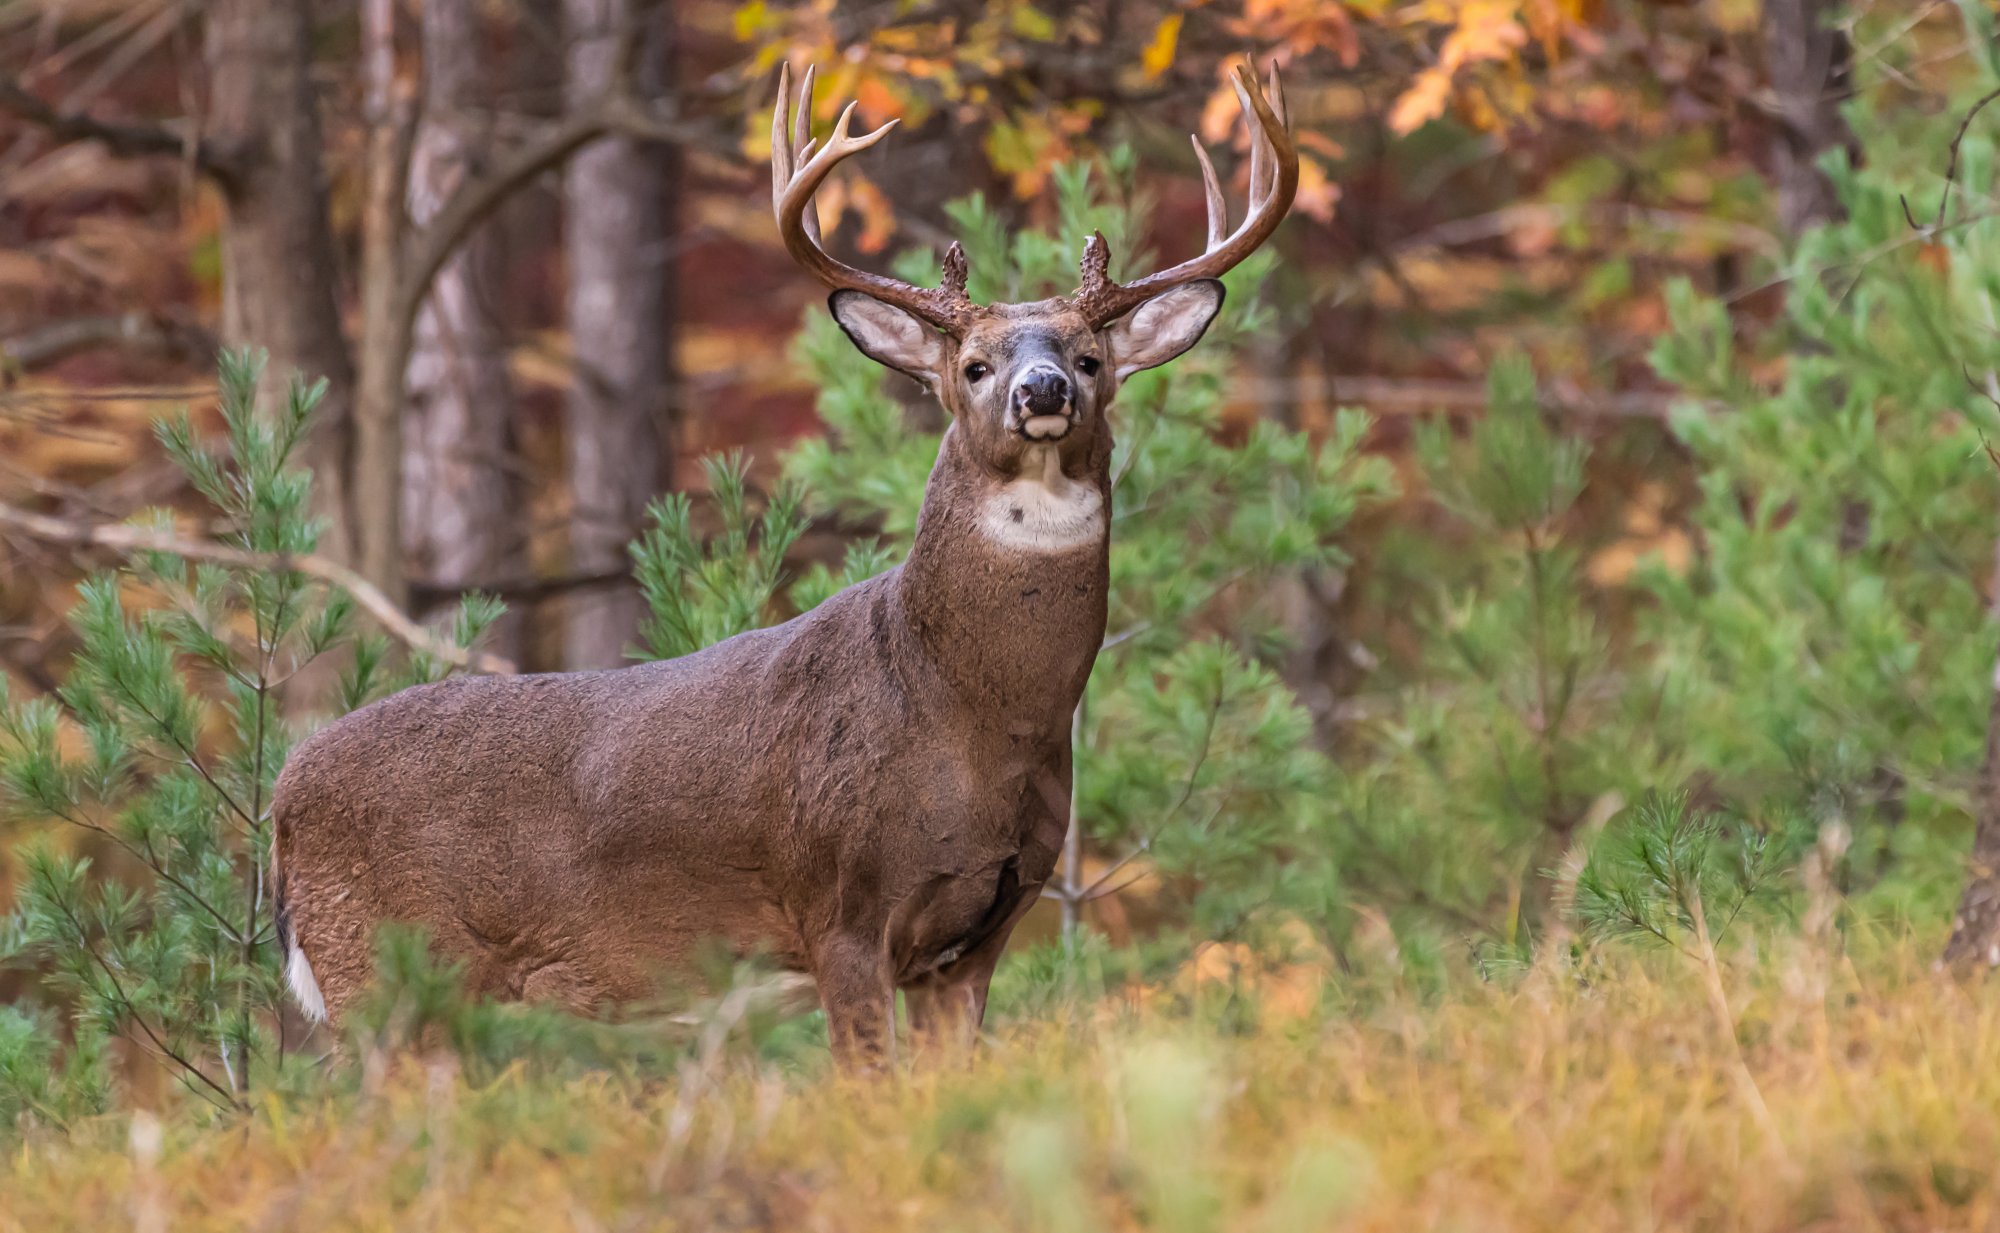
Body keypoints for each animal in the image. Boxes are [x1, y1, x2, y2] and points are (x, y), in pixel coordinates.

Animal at [274, 57, 1296, 1064]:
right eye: (971, 363)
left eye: (1091, 358)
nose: (1039, 389)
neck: (976, 717)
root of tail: (282, 795)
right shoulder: (841, 904)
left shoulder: (980, 935)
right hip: (376, 969)